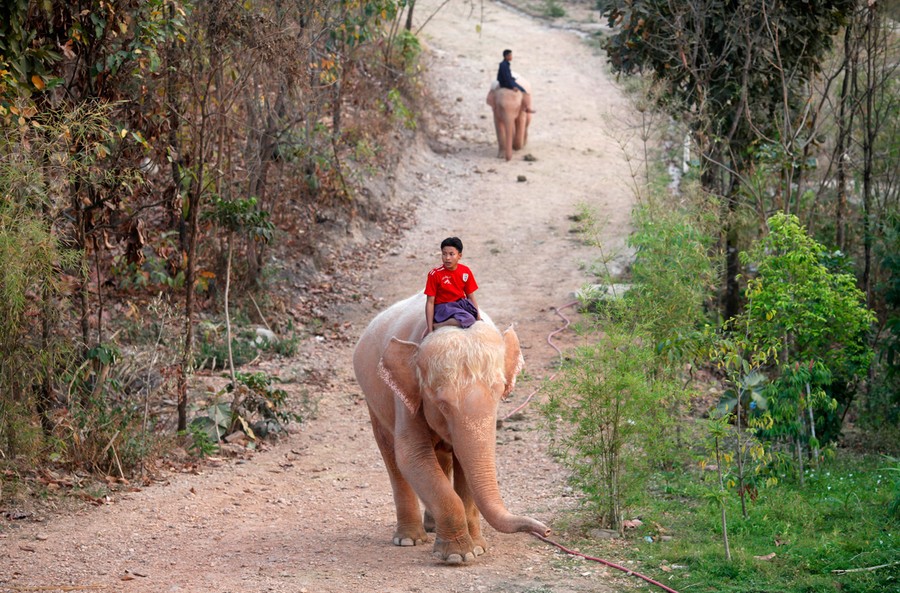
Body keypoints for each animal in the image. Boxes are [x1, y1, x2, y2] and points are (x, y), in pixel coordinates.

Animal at [352, 294, 548, 560]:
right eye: (442, 404)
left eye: (499, 394)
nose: (546, 530)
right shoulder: (407, 398)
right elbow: (412, 457)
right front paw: (458, 555)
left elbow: (464, 465)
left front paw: (478, 548)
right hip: (373, 401)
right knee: (391, 454)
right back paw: (408, 539)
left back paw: (432, 526)